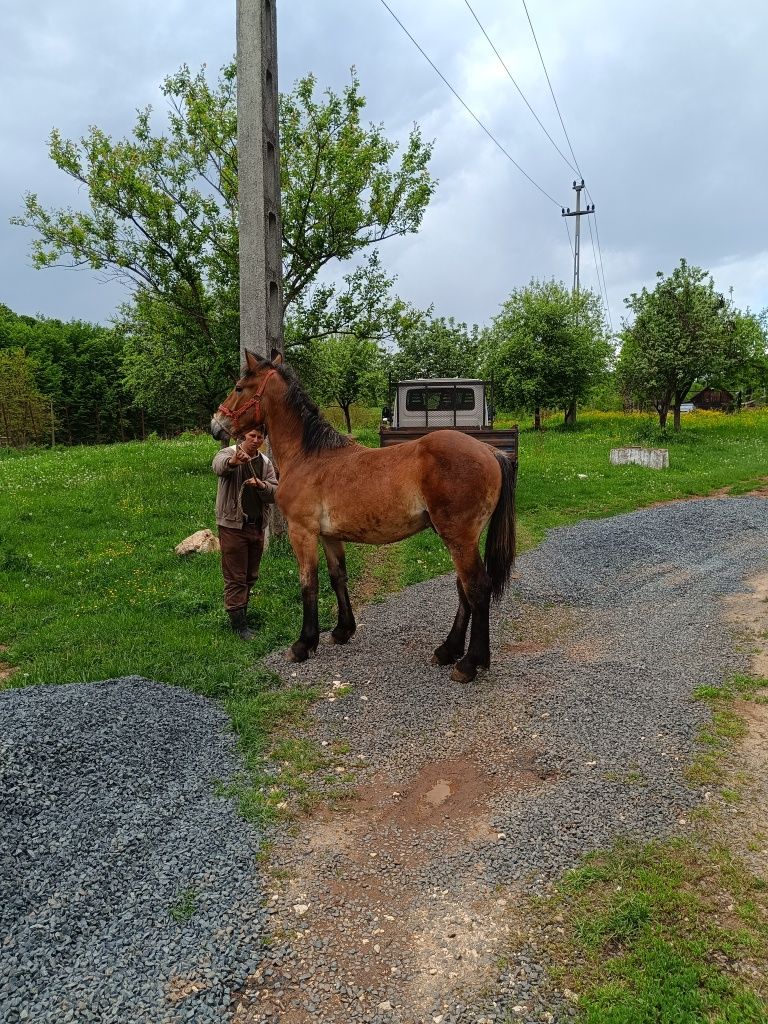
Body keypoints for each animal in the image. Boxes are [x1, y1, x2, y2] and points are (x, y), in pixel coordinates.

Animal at [210, 350, 518, 679]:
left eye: (239, 387)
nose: (216, 425)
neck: (309, 456)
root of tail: (490, 452)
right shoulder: (329, 536)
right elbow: (337, 578)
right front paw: (342, 631)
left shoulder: (302, 532)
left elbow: (309, 583)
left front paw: (304, 644)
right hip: (460, 539)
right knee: (464, 590)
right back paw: (448, 650)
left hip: (459, 538)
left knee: (477, 589)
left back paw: (469, 663)